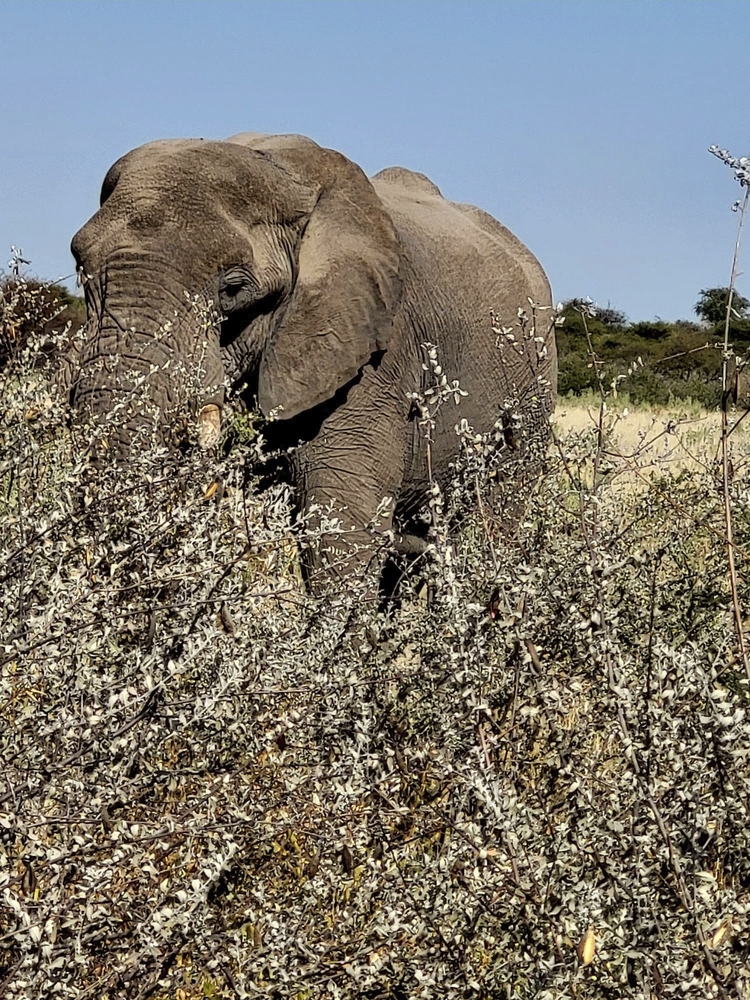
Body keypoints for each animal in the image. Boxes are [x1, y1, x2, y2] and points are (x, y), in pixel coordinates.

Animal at [69, 130, 560, 588]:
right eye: (80, 270)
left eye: (232, 290)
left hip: (533, 388)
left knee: (491, 522)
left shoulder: (372, 355)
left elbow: (341, 527)